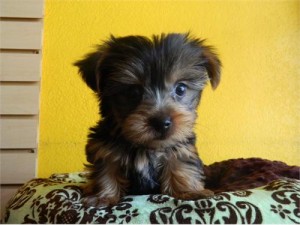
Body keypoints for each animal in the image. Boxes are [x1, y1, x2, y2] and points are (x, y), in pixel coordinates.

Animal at [74, 32, 221, 207]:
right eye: (133, 91)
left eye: (181, 88)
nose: (162, 122)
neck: (146, 146)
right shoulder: (104, 148)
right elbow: (106, 171)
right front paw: (103, 196)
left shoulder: (181, 147)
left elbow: (181, 165)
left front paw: (189, 191)